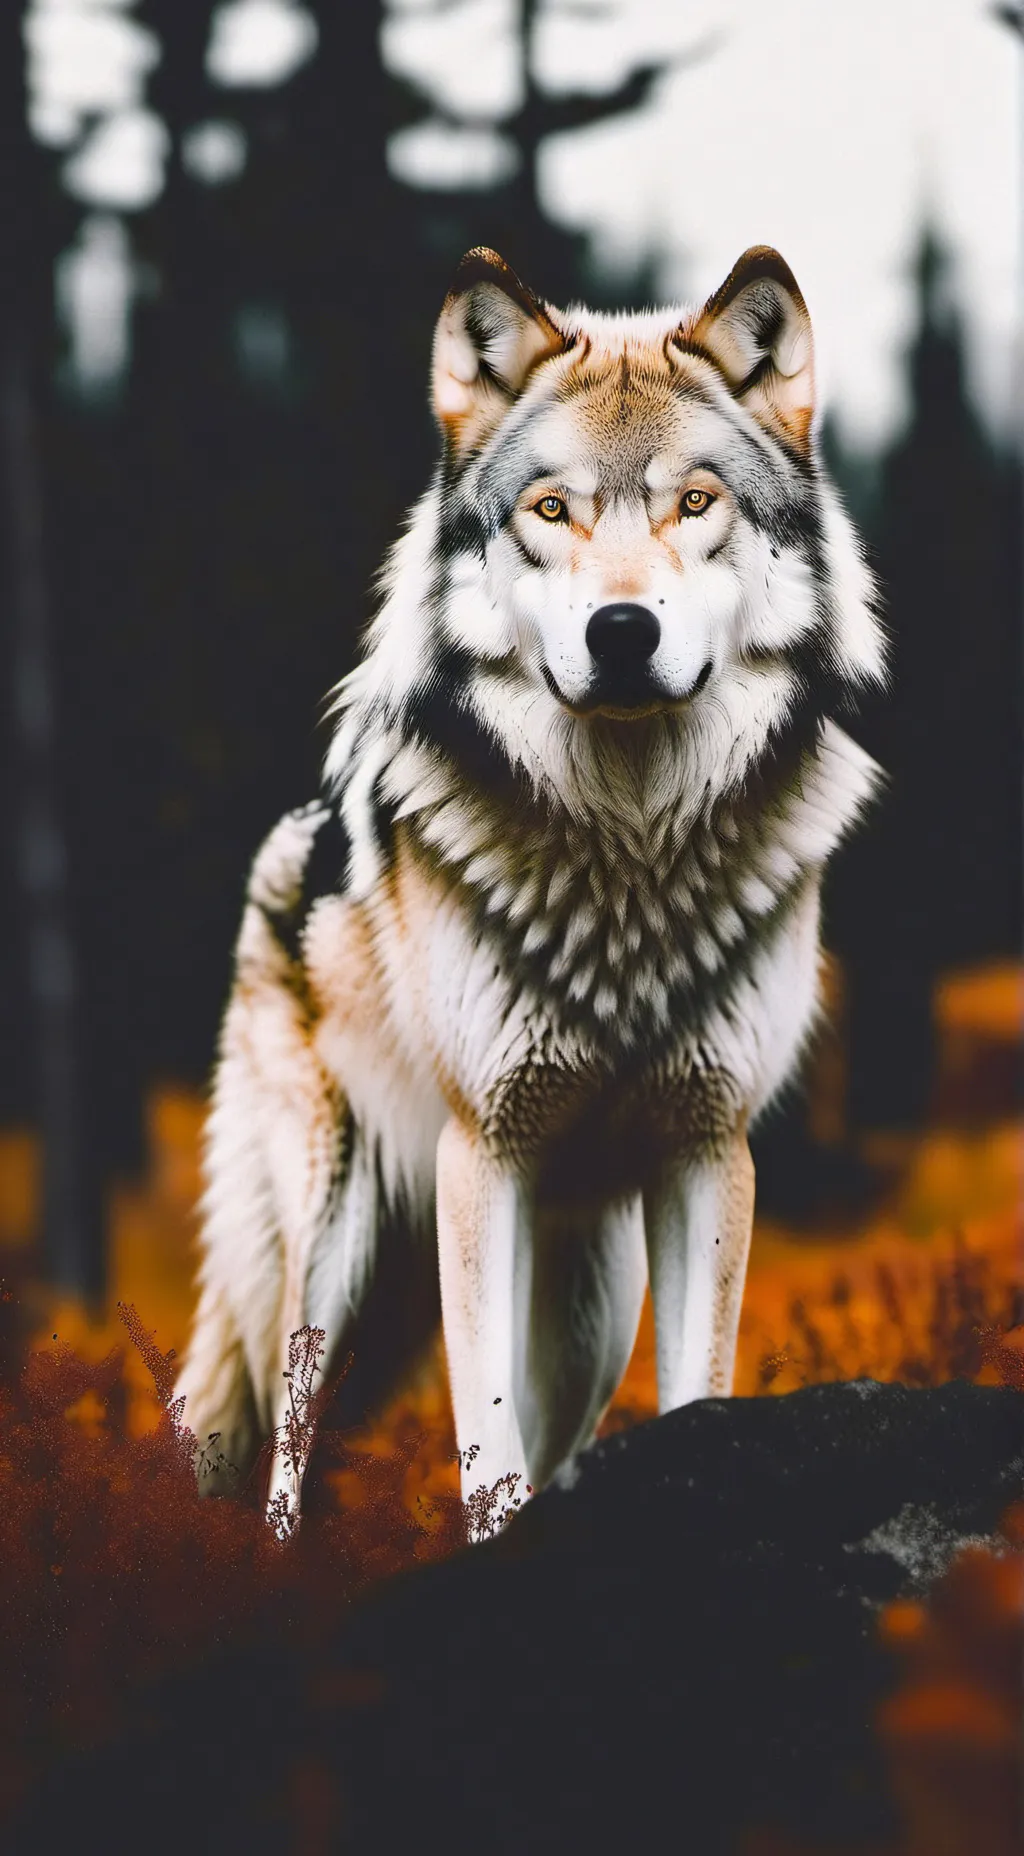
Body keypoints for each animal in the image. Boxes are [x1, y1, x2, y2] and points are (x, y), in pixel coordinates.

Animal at [175, 245, 885, 1534]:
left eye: (694, 503)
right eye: (550, 511)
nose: (621, 629)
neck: (628, 851)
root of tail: (289, 846)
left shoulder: (707, 1153)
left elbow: (692, 1396)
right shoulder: (483, 1153)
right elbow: (486, 1451)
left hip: (588, 1306)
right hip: (333, 1256)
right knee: (282, 1466)